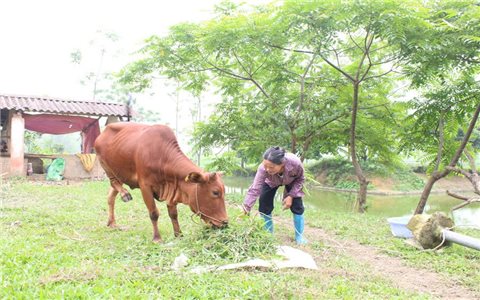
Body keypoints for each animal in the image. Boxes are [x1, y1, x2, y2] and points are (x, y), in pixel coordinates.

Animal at [95, 123, 229, 243]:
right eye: (215, 192)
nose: (225, 223)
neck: (163, 158)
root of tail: (103, 132)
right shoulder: (145, 186)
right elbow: (154, 213)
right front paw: (157, 238)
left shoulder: (173, 189)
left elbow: (173, 214)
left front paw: (179, 235)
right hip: (107, 167)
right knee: (113, 183)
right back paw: (125, 194)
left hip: (121, 174)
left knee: (110, 197)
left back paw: (112, 223)